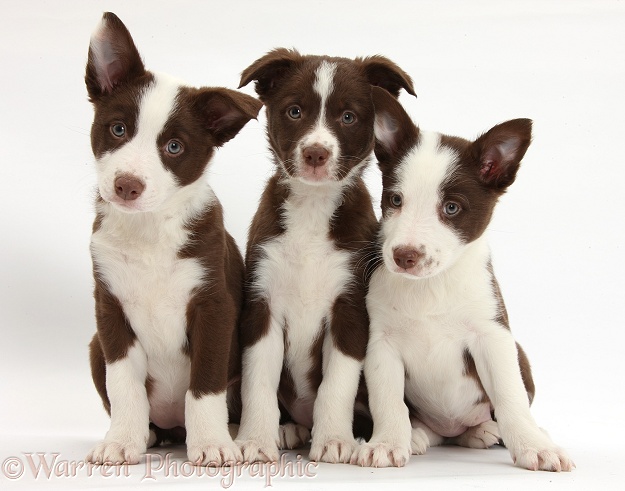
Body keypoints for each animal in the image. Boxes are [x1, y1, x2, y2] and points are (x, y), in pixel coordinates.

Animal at [352, 88, 572, 472]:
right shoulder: (381, 344)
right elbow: (388, 400)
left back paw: (493, 430)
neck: (431, 284)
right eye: (395, 199)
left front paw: (533, 445)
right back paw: (420, 434)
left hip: (519, 353)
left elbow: (510, 395)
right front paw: (388, 442)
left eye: (451, 208)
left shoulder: (492, 336)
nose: (404, 256)